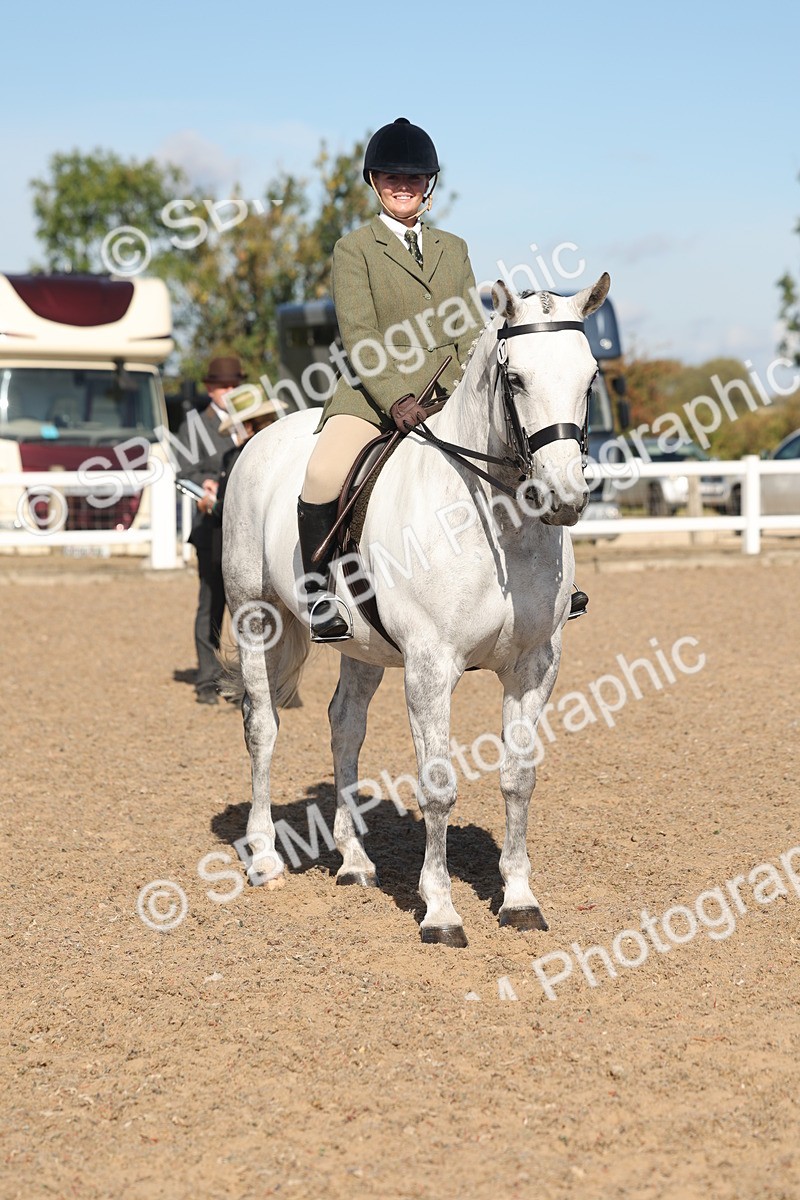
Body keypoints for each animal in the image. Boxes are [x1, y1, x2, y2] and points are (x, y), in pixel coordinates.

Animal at [222, 273, 610, 947]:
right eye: (515, 379)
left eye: (589, 378)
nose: (563, 497)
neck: (498, 527)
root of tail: (260, 438)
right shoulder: (431, 668)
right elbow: (438, 786)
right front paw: (441, 911)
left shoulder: (535, 667)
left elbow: (519, 779)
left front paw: (519, 899)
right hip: (255, 617)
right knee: (262, 725)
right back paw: (265, 858)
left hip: (360, 645)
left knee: (345, 725)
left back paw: (354, 862)